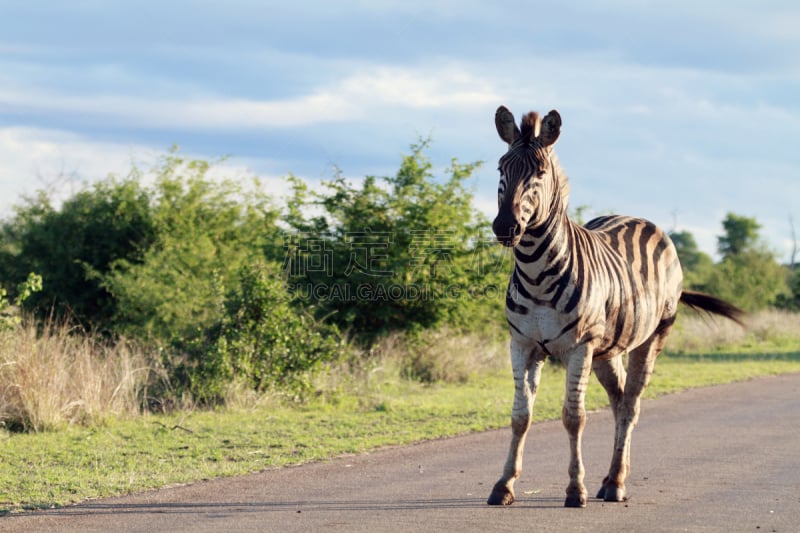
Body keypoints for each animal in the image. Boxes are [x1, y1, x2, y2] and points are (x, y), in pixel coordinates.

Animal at [488, 105, 744, 508]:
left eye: (540, 173)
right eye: (501, 167)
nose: (505, 227)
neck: (535, 271)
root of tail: (642, 219)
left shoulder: (579, 347)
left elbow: (573, 416)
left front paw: (575, 489)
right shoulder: (523, 344)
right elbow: (520, 416)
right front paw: (504, 485)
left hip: (653, 336)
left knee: (631, 404)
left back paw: (617, 483)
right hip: (607, 351)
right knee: (619, 400)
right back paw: (610, 479)